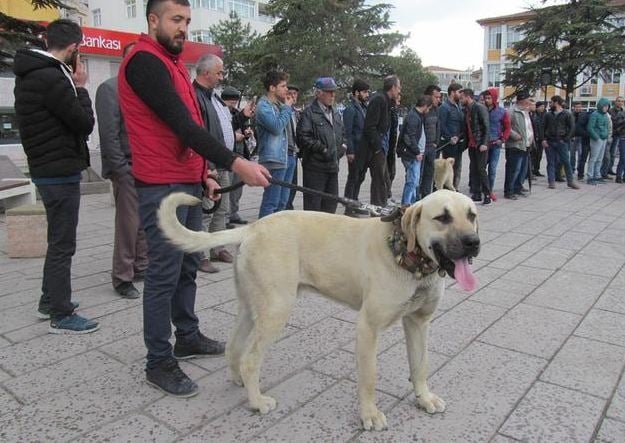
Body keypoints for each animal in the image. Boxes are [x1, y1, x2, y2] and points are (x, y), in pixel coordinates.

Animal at [158, 190, 480, 430]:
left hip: (253, 307)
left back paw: (240, 381)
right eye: (442, 218)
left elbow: (420, 365)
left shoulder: (418, 323)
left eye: (472, 215)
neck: (409, 258)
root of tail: (253, 227)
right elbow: (369, 377)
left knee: (234, 347)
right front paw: (369, 414)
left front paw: (424, 398)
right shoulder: (368, 327)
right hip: (276, 309)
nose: (473, 243)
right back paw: (257, 401)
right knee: (251, 359)